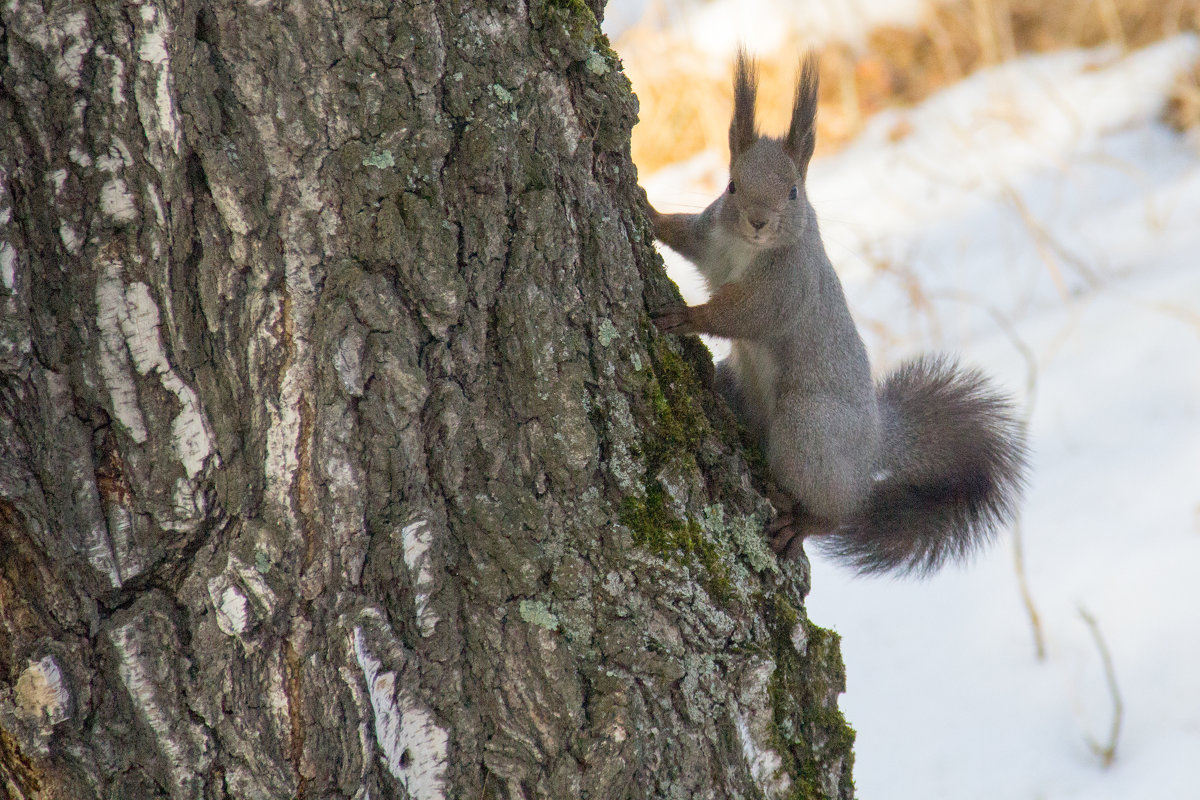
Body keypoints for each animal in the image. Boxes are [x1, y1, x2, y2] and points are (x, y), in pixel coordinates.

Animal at [648, 51, 1032, 575]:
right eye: (731, 186)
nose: (758, 221)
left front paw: (689, 317)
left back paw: (806, 523)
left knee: (839, 509)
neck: (746, 249)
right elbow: (683, 234)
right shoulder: (711, 239)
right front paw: (647, 212)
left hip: (808, 427)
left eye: (793, 192)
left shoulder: (786, 288)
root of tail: (872, 443)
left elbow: (743, 317)